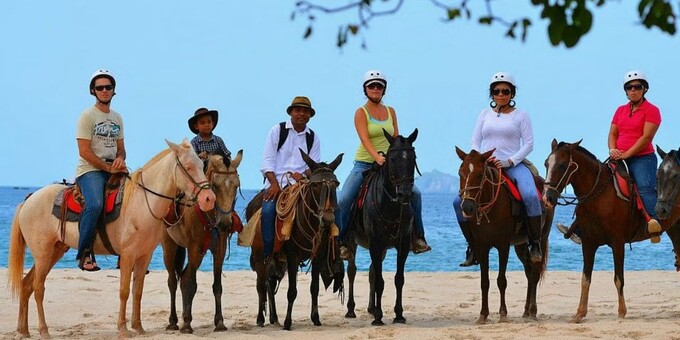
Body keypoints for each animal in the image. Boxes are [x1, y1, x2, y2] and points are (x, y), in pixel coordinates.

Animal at [7, 139, 215, 338]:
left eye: (201, 164)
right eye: (188, 166)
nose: (209, 199)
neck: (142, 202)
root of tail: (29, 200)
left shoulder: (144, 255)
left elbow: (137, 291)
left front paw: (138, 328)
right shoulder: (128, 255)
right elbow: (124, 291)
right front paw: (123, 329)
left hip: (55, 251)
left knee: (26, 285)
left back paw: (23, 331)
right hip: (43, 254)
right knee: (38, 288)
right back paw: (43, 331)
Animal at [161, 150, 243, 334]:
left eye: (236, 186)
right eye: (216, 186)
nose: (225, 224)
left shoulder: (219, 250)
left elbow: (217, 286)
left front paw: (219, 323)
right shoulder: (194, 248)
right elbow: (190, 284)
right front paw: (187, 324)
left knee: (183, 276)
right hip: (170, 245)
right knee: (173, 281)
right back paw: (174, 321)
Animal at [346, 129, 420, 326]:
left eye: (413, 158)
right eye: (392, 159)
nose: (405, 194)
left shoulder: (402, 245)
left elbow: (398, 279)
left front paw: (399, 314)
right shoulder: (375, 244)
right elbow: (380, 281)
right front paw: (379, 317)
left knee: (372, 271)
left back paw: (371, 309)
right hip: (352, 243)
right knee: (352, 271)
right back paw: (351, 310)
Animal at [456, 147, 552, 322]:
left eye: (480, 174)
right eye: (461, 173)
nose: (466, 207)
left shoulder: (503, 246)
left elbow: (501, 280)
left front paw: (502, 313)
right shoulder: (481, 247)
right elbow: (484, 282)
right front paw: (483, 314)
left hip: (541, 238)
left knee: (534, 273)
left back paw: (533, 311)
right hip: (521, 245)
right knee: (529, 272)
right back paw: (526, 311)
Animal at [540, 139, 680, 322]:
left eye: (562, 165)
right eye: (546, 163)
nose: (547, 198)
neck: (599, 195)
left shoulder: (617, 243)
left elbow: (618, 278)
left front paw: (621, 312)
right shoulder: (588, 243)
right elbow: (585, 279)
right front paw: (579, 313)